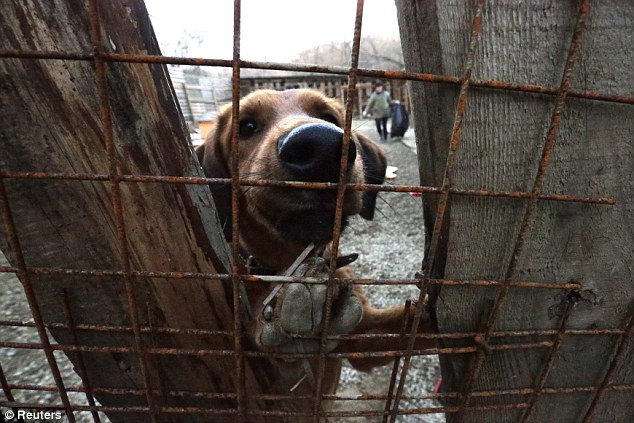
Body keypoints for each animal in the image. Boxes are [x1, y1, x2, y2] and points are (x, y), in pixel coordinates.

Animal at [194, 88, 430, 400]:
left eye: (330, 118)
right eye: (247, 126)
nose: (321, 145)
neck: (294, 261)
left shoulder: (363, 340)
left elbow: (418, 321)